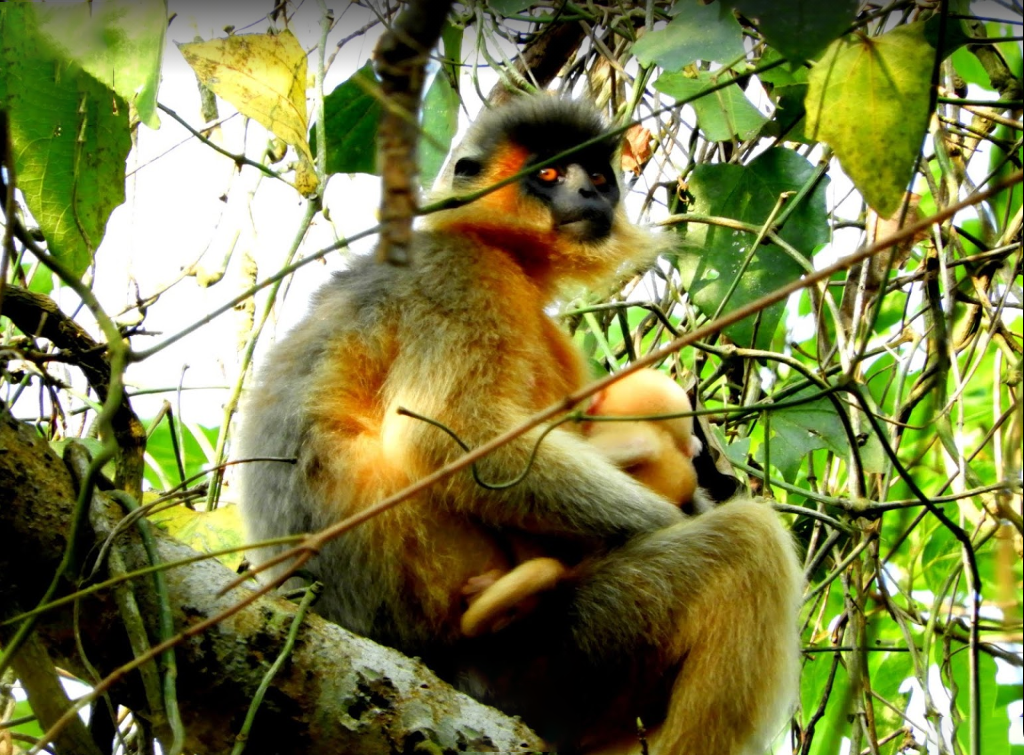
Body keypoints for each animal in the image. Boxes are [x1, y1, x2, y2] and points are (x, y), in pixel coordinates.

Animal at [235, 97, 802, 749]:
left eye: (598, 175)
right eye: (550, 173)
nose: (590, 193)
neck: (492, 243)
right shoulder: (460, 274)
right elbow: (450, 439)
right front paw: (678, 509)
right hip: (547, 654)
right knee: (748, 543)